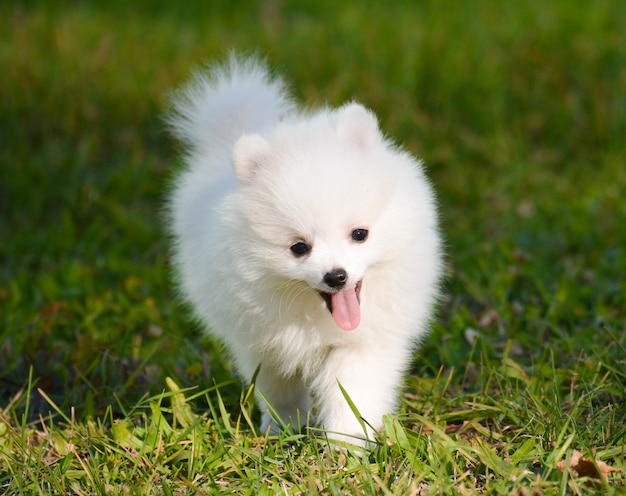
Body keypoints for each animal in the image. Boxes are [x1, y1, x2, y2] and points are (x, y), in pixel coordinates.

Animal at [165, 53, 438, 446]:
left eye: (359, 234)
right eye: (298, 248)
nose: (336, 276)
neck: (317, 317)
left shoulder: (362, 344)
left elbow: (351, 395)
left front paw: (346, 446)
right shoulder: (265, 346)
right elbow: (278, 390)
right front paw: (283, 430)